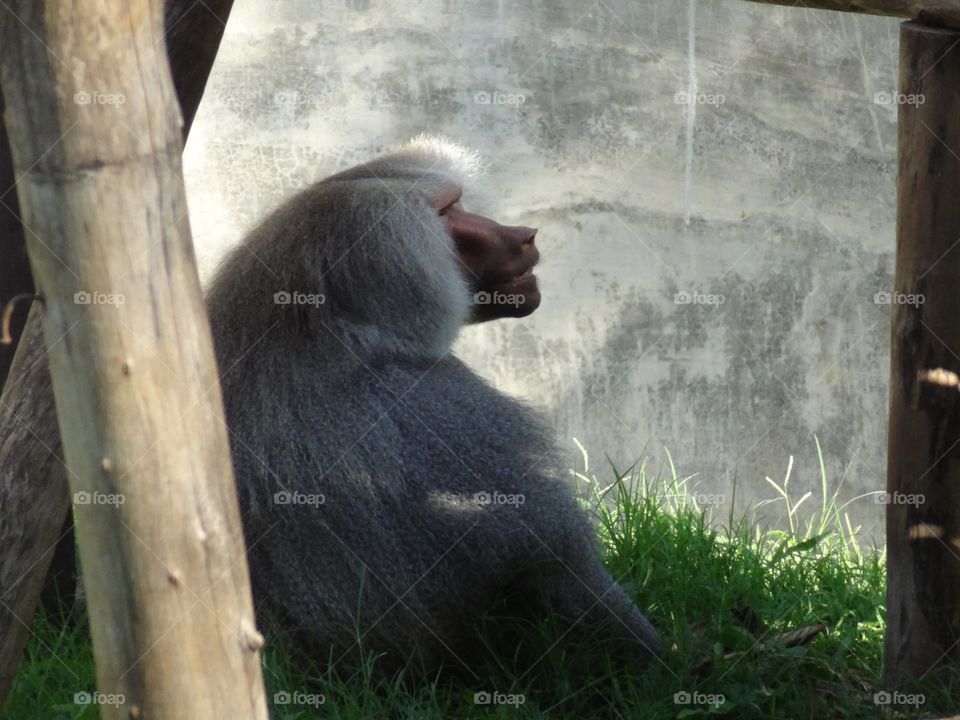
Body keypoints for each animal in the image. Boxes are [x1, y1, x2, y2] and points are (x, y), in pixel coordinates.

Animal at [204, 135, 661, 675]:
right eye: (446, 213)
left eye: (458, 202)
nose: (524, 235)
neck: (331, 336)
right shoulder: (442, 409)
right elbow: (559, 558)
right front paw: (672, 662)